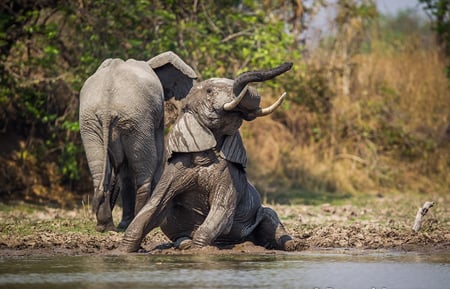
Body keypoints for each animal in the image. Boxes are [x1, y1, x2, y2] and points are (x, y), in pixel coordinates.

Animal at [78, 50, 197, 231]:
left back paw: (106, 227)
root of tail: (107, 103)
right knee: (145, 166)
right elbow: (158, 155)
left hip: (93, 122)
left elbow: (125, 172)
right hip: (136, 120)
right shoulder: (156, 116)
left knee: (100, 169)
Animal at [121, 62, 298, 251]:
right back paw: (185, 244)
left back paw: (290, 246)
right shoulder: (176, 166)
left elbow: (221, 209)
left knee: (270, 216)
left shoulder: (231, 175)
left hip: (262, 215)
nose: (289, 64)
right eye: (209, 91)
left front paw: (200, 250)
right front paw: (125, 251)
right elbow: (156, 204)